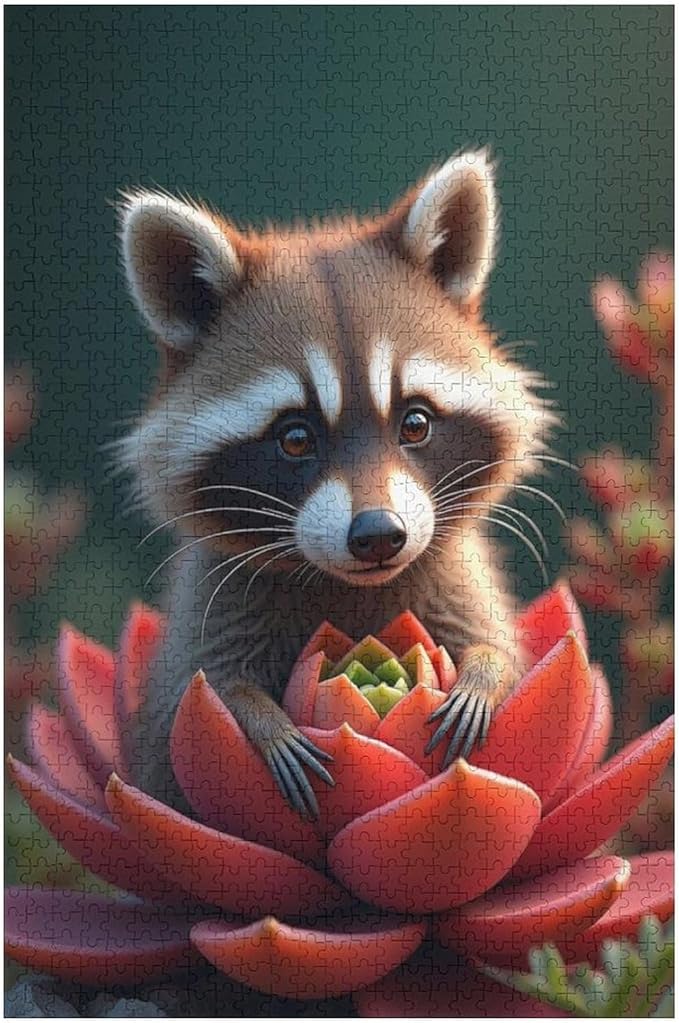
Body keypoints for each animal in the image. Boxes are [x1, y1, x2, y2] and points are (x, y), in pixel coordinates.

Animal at [117, 149, 557, 817]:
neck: (348, 584)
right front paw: (261, 721)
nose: (378, 535)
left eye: (415, 422)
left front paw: (484, 674)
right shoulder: (215, 601)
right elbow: (199, 697)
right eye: (296, 438)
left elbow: (499, 647)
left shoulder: (457, 578)